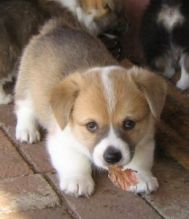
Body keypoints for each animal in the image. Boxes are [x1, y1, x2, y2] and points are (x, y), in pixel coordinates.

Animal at [14, 18, 167, 197]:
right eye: (91, 125)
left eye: (129, 123)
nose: (112, 157)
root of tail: (56, 26)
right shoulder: (60, 140)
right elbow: (75, 161)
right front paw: (78, 181)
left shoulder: (145, 138)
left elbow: (141, 159)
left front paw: (141, 177)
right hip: (27, 88)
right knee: (24, 109)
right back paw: (27, 131)